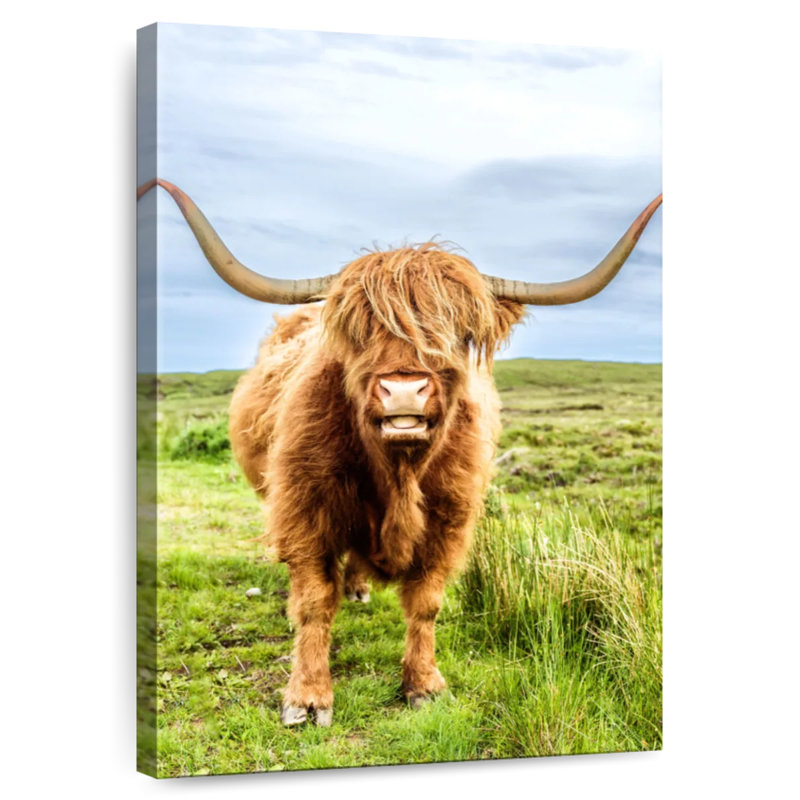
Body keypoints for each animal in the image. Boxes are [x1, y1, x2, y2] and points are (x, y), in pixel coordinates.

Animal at [140, 178, 661, 727]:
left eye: (457, 332)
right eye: (360, 331)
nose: (404, 390)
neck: (398, 473)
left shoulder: (450, 518)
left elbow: (426, 602)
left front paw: (423, 684)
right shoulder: (304, 510)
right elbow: (313, 600)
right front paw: (308, 697)